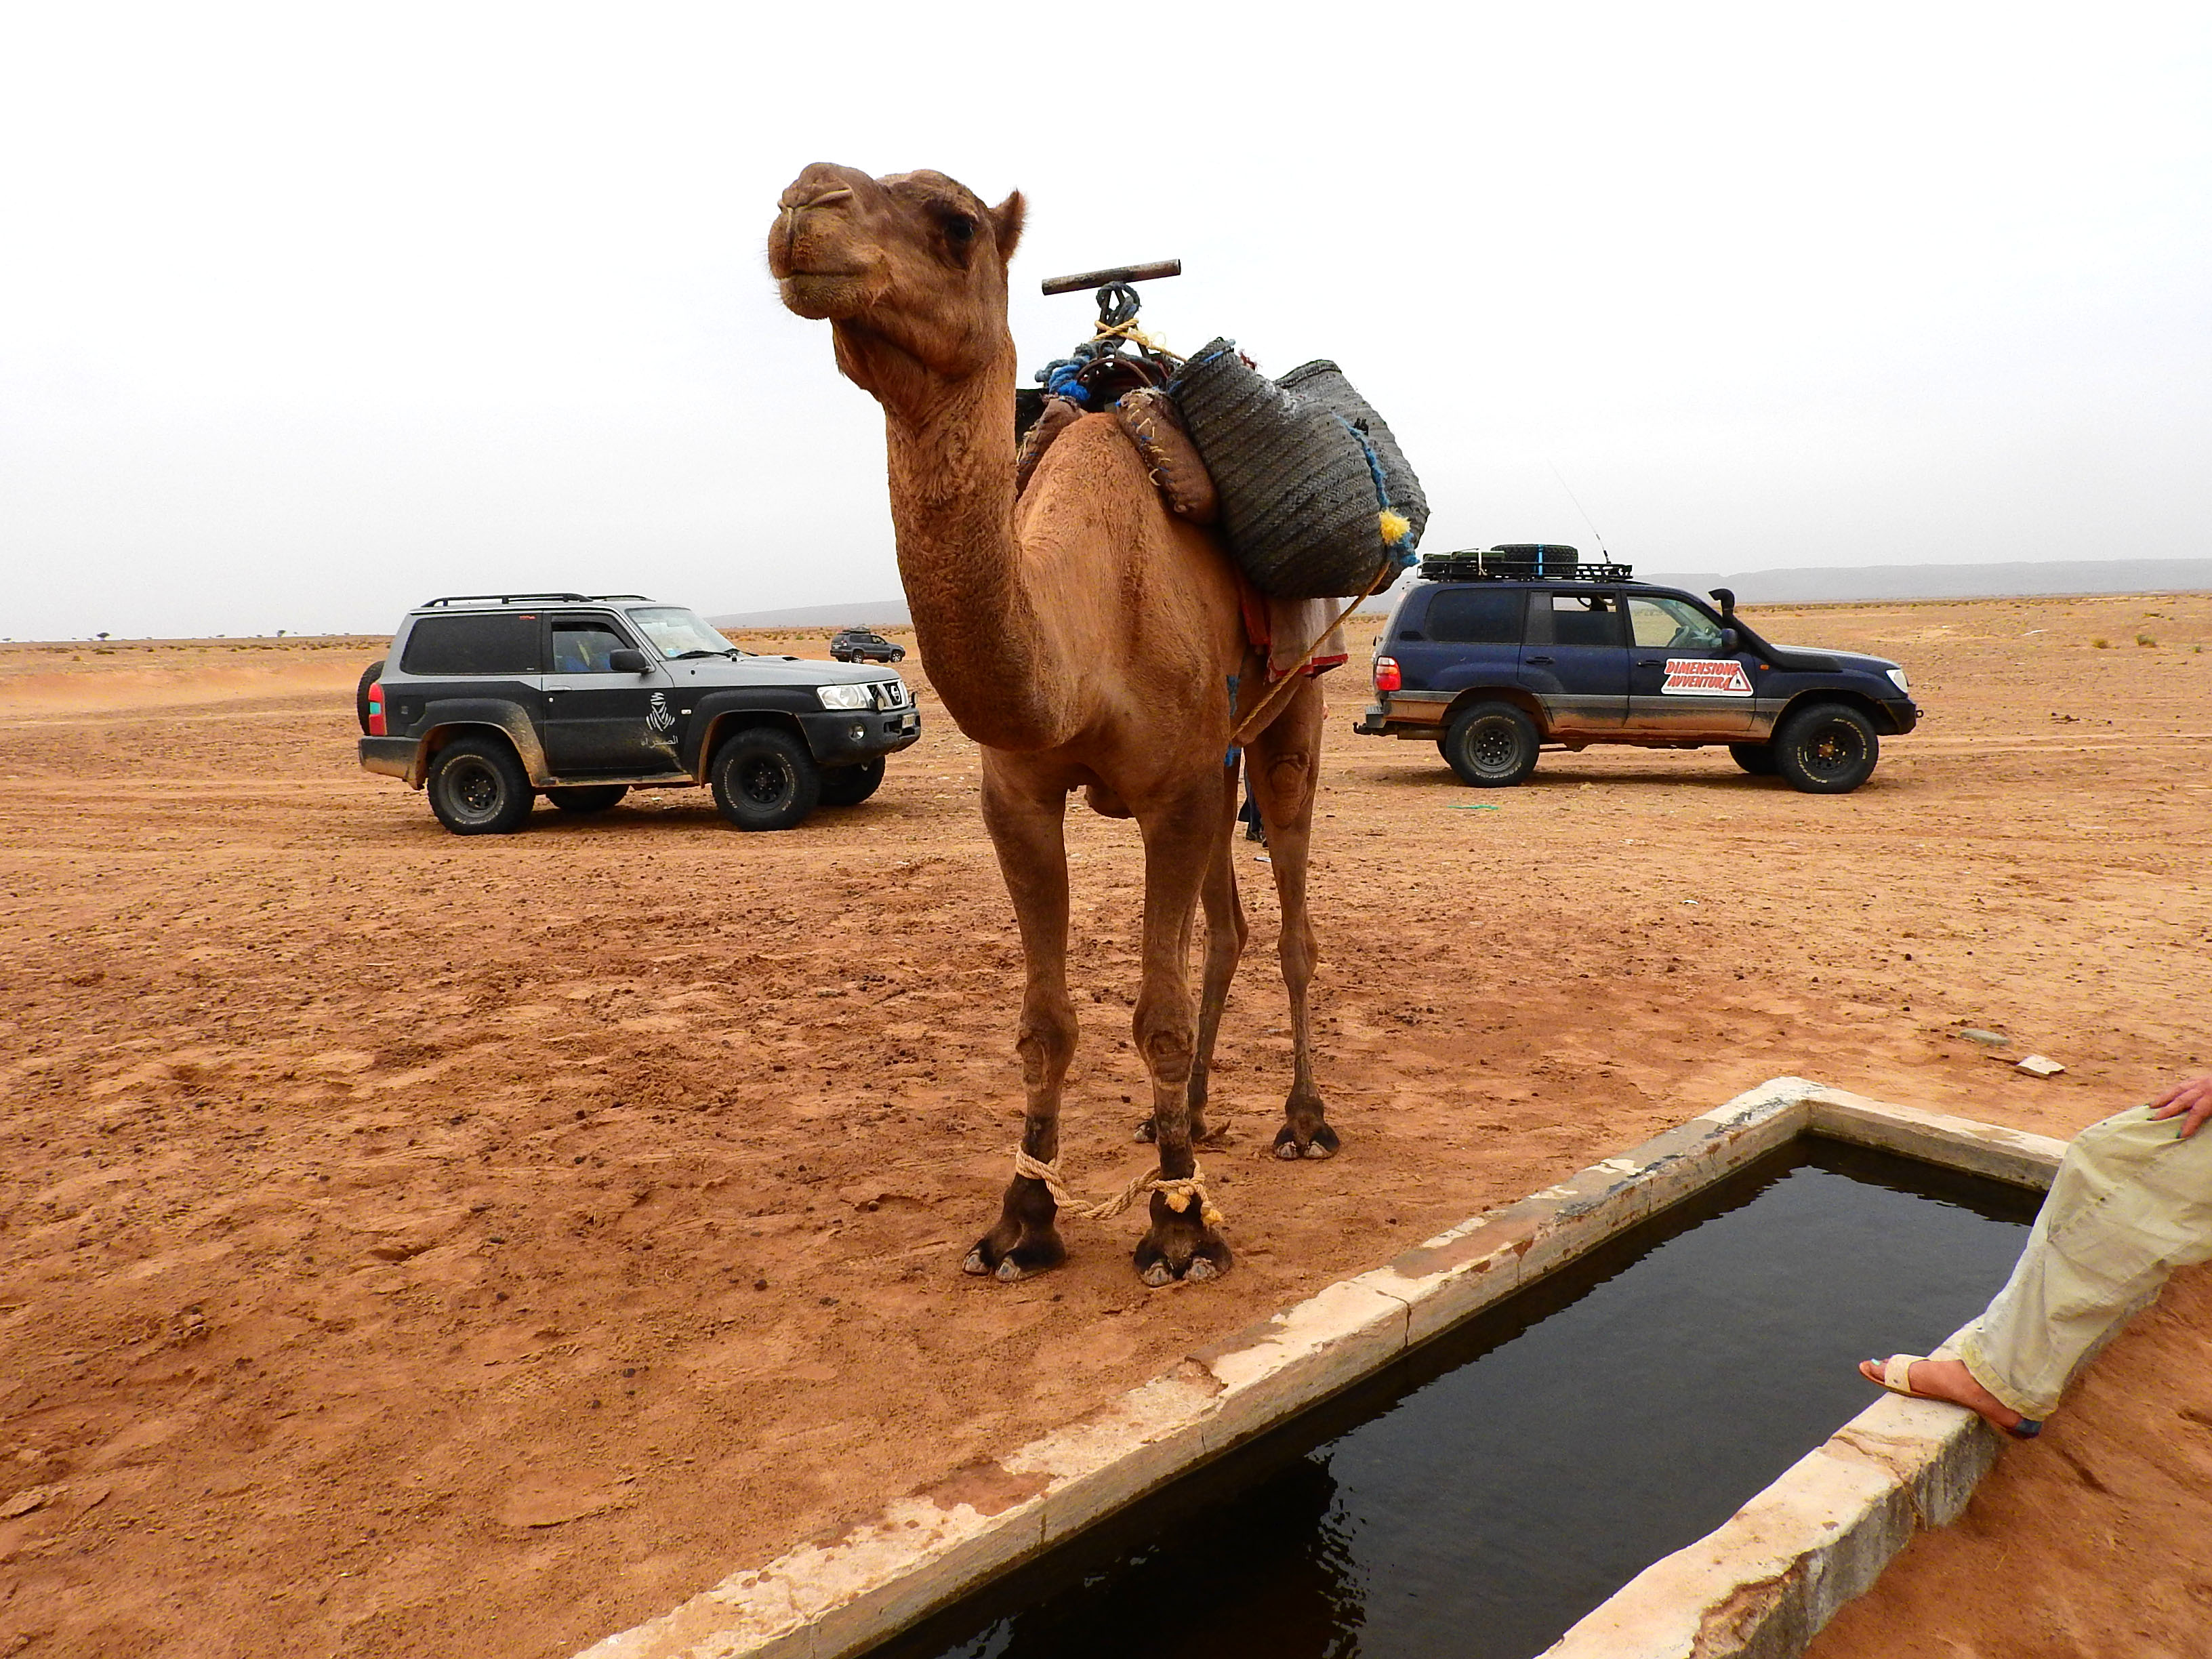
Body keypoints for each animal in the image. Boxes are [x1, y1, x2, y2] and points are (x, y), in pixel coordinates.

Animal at [769, 165, 1336, 1283]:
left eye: (956, 225)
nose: (804, 202)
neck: (1083, 630)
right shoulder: (1019, 795)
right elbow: (1045, 1020)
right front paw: (1023, 1219)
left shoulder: (1171, 792)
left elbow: (1156, 1017)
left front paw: (1179, 1227)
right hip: (1222, 755)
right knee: (1230, 929)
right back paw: (1187, 1118)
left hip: (1293, 714)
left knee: (1291, 925)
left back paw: (1301, 1121)